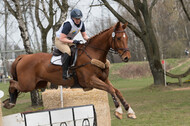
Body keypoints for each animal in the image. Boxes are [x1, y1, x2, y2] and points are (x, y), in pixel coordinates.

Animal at [2, 21, 137, 119]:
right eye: (118, 38)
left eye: (127, 38)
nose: (126, 57)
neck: (93, 53)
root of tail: (23, 57)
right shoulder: (90, 81)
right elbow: (111, 90)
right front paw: (118, 111)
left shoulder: (103, 79)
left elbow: (117, 91)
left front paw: (130, 111)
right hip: (27, 84)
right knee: (12, 83)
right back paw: (10, 101)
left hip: (39, 84)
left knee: (16, 84)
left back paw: (10, 101)